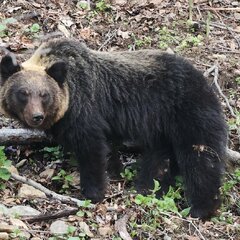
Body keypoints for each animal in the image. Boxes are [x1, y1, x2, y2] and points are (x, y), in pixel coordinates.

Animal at [0, 37, 228, 219]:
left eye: (44, 94)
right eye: (23, 93)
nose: (36, 117)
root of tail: (207, 83)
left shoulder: (86, 111)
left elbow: (93, 150)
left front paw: (93, 193)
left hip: (188, 115)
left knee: (200, 159)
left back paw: (200, 207)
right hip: (162, 130)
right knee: (160, 160)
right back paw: (150, 187)